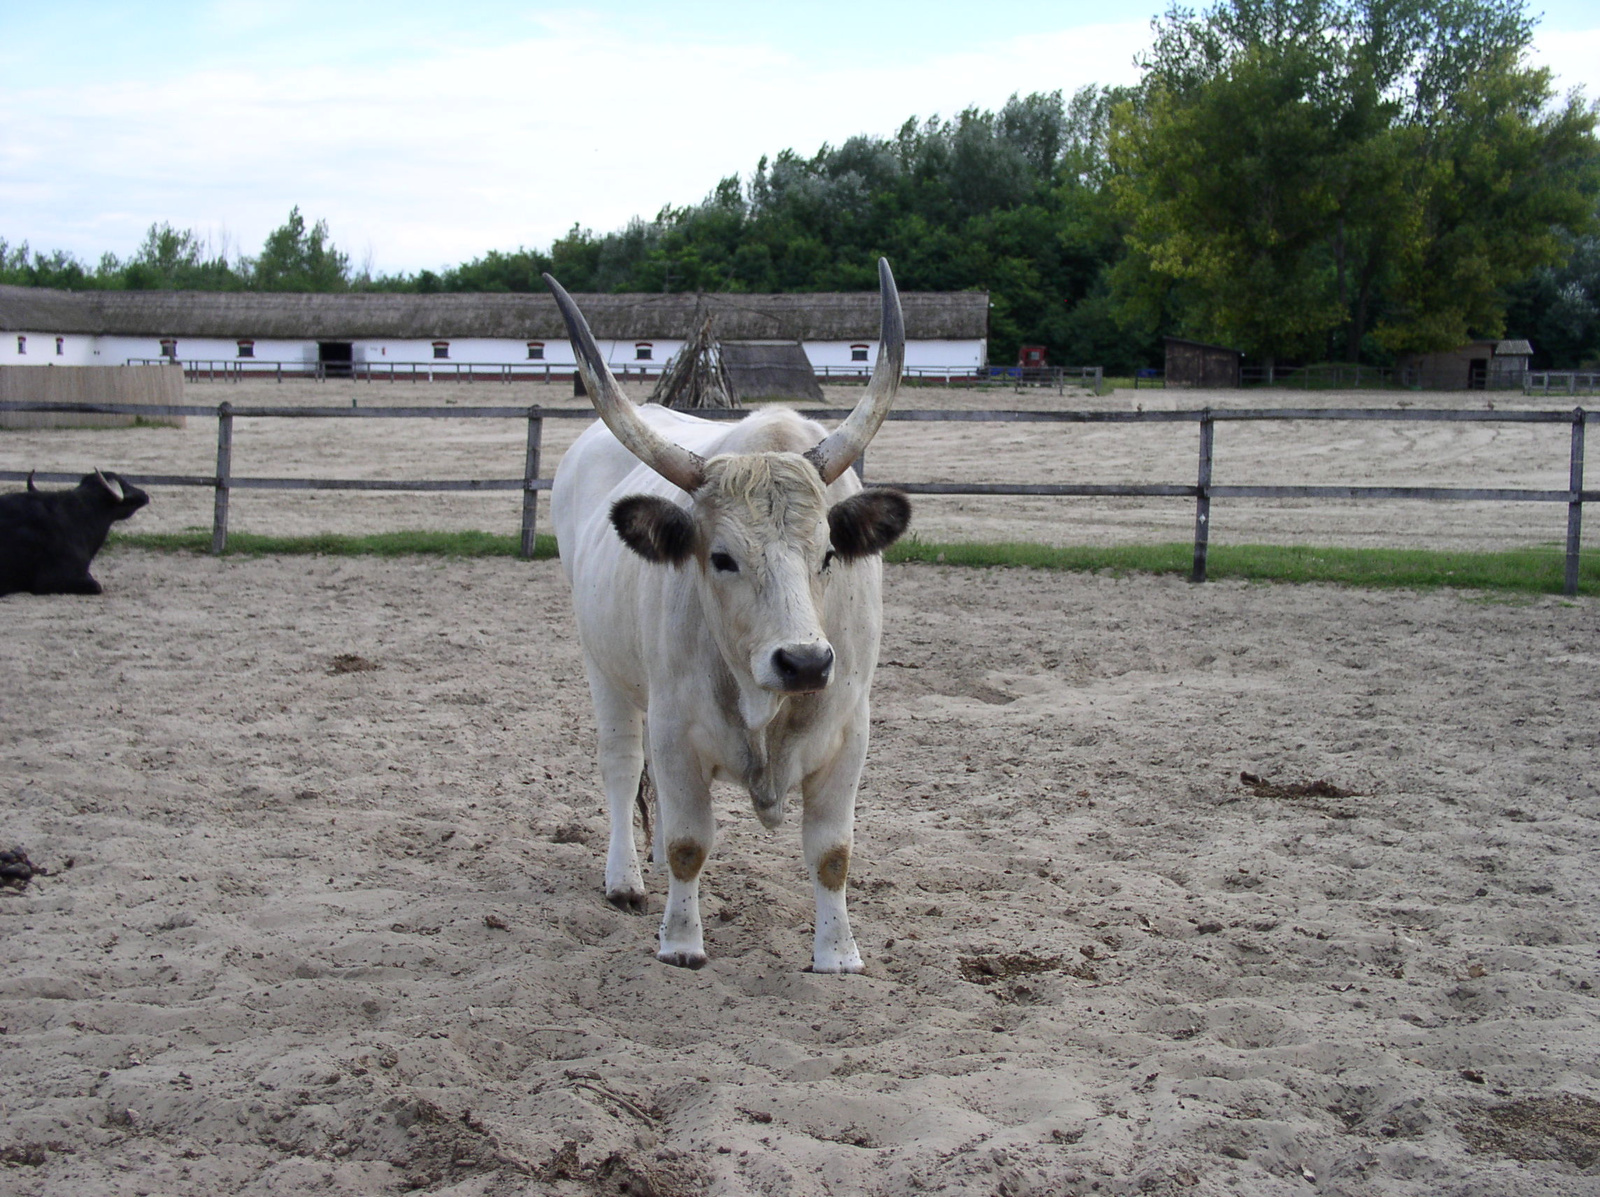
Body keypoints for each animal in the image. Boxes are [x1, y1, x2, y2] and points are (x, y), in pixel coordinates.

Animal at [547, 262, 908, 972]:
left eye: (829, 553)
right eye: (721, 558)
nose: (804, 661)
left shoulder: (848, 733)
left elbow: (832, 853)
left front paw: (838, 954)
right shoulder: (677, 727)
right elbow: (690, 842)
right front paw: (682, 942)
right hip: (604, 668)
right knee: (622, 765)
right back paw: (626, 879)